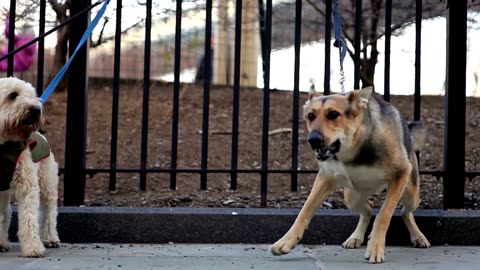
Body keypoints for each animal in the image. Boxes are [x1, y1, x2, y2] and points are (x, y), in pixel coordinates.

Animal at [0, 76, 60, 258]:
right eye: (12, 95)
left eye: (33, 95)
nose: (36, 109)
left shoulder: (27, 184)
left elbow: (29, 218)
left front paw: (33, 248)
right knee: (5, 212)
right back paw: (2, 243)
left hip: (47, 183)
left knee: (49, 212)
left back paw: (50, 238)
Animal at [270, 86, 432, 264]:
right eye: (310, 116)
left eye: (333, 114)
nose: (313, 140)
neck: (354, 148)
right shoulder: (325, 178)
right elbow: (305, 210)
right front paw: (286, 241)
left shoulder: (401, 173)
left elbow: (384, 214)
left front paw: (375, 247)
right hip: (352, 196)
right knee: (368, 209)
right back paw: (356, 237)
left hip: (411, 194)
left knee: (405, 211)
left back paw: (417, 236)